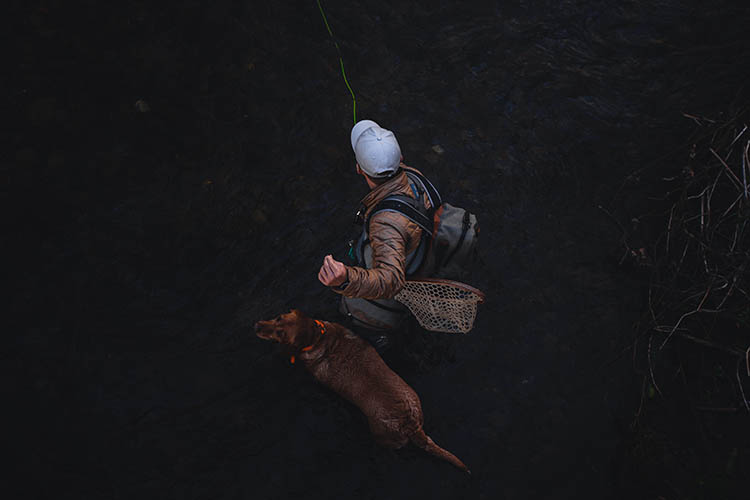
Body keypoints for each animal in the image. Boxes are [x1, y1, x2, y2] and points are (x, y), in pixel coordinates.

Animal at [256, 308, 472, 472]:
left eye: (280, 334)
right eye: (278, 317)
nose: (257, 325)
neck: (319, 340)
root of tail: (409, 423)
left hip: (380, 435)